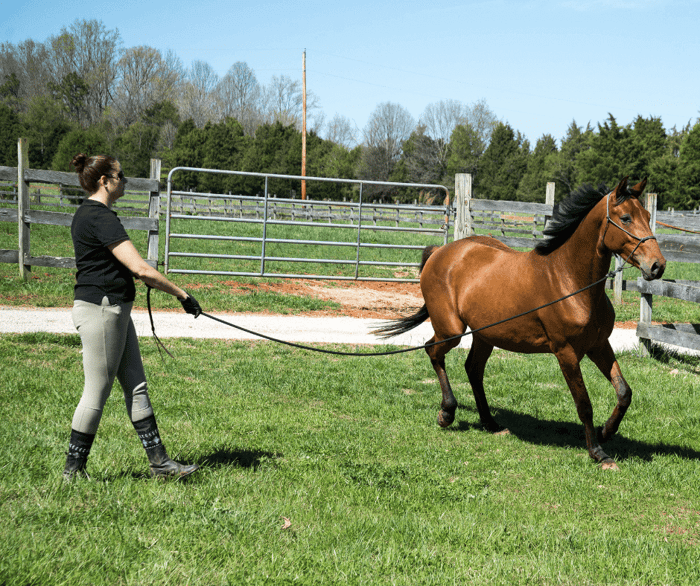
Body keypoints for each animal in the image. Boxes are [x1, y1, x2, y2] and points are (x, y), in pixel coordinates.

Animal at [374, 177, 665, 469]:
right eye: (626, 218)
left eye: (647, 215)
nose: (657, 266)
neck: (569, 280)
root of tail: (440, 252)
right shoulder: (566, 353)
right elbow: (584, 404)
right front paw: (598, 452)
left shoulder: (599, 345)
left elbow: (624, 392)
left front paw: (606, 431)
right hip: (451, 330)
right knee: (433, 351)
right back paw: (447, 413)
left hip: (484, 335)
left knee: (473, 369)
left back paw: (490, 423)